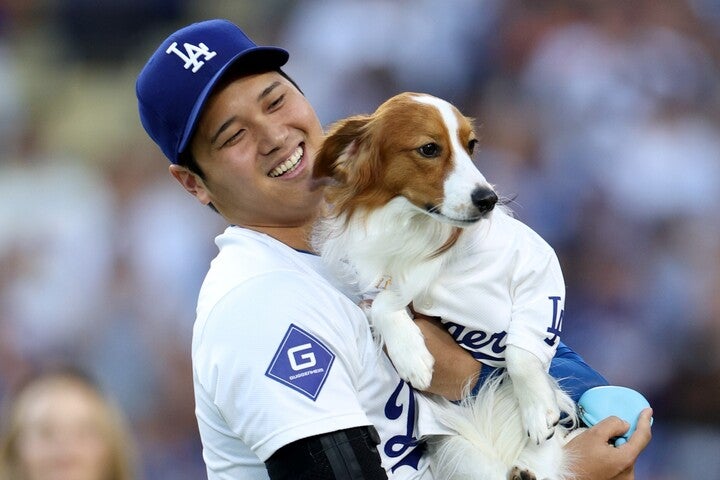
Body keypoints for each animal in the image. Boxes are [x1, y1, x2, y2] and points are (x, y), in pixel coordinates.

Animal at [312, 94, 576, 480]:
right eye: (429, 148)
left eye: (472, 145)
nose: (488, 199)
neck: (420, 230)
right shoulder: (376, 288)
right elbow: (383, 303)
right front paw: (412, 355)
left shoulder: (538, 267)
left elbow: (521, 354)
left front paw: (538, 408)